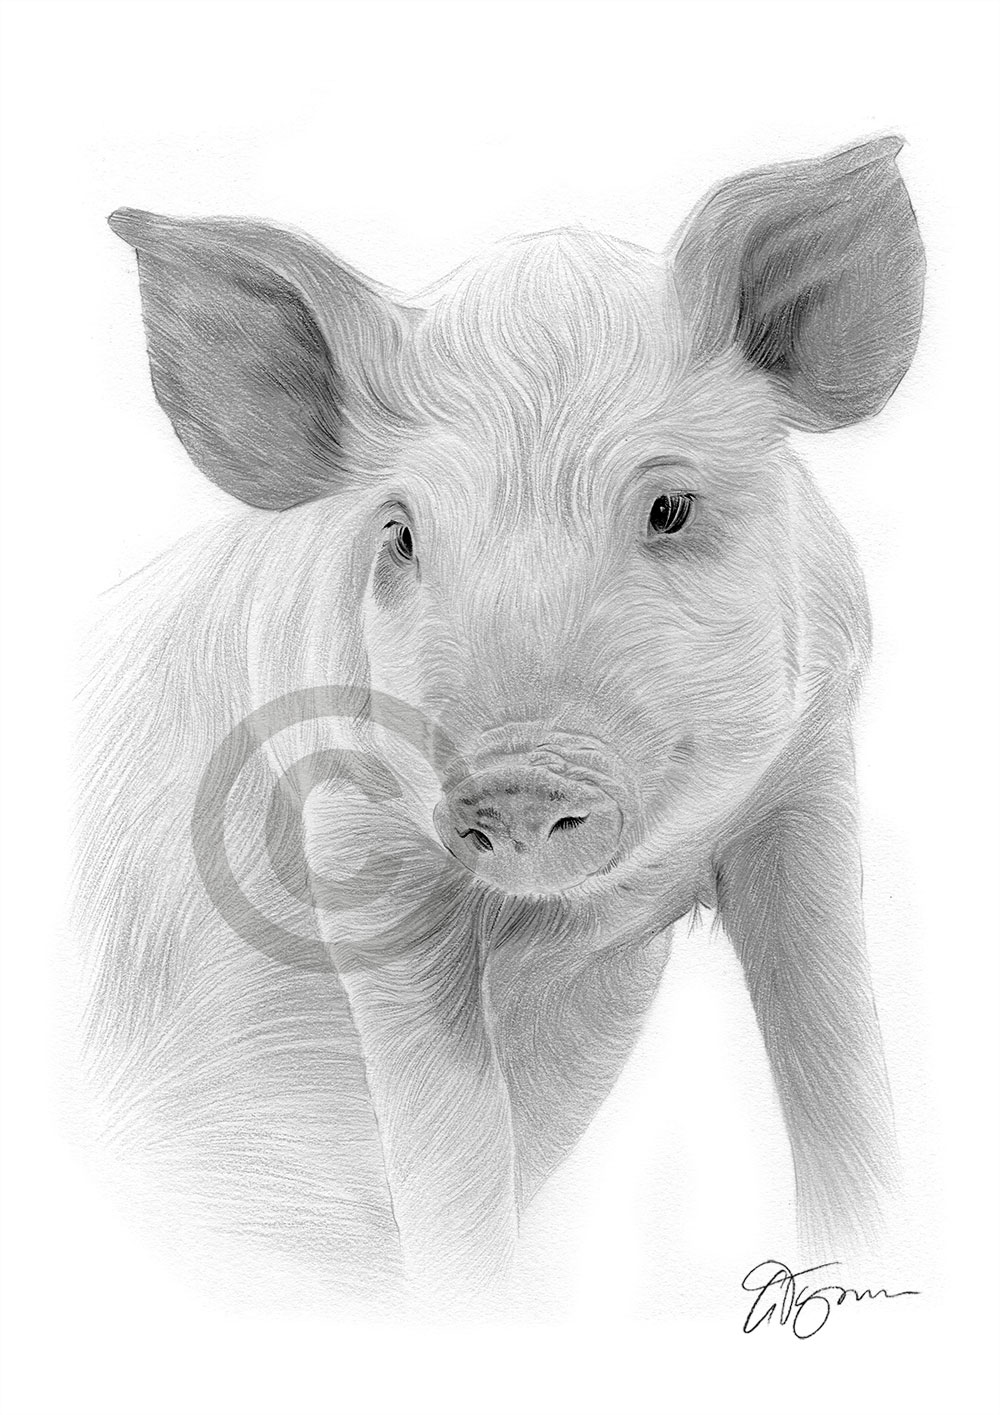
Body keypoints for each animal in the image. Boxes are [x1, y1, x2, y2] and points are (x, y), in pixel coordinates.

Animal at [78, 136, 924, 1308]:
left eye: (669, 507)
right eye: (398, 533)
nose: (517, 778)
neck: (575, 919)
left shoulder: (806, 780)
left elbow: (835, 1043)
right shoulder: (355, 843)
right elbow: (451, 1155)